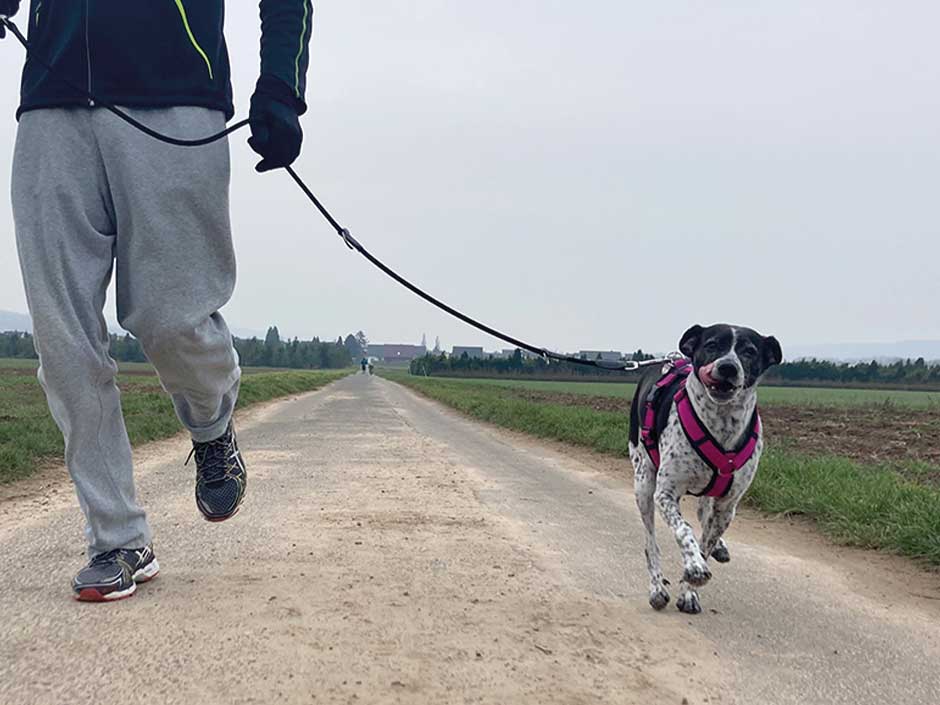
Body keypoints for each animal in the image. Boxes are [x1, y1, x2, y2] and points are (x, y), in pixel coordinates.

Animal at [628, 324, 784, 612]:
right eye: (711, 345)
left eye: (749, 351)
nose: (727, 367)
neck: (721, 423)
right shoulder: (665, 494)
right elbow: (684, 530)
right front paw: (694, 567)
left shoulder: (726, 505)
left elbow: (705, 544)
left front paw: (689, 591)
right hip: (643, 483)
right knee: (650, 542)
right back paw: (656, 589)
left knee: (703, 511)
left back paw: (719, 546)